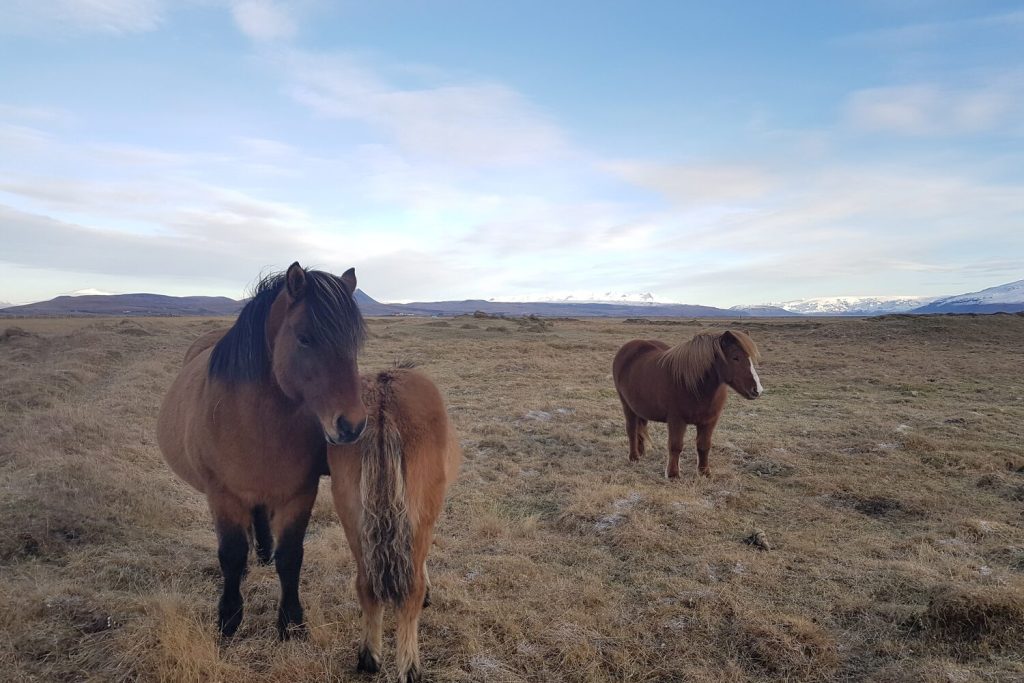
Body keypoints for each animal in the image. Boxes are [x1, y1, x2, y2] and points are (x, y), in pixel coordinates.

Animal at [156, 262, 367, 639]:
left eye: (354, 343)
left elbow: (291, 556)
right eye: (304, 338)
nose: (351, 426)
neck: (256, 420)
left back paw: (265, 552)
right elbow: (231, 554)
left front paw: (291, 622)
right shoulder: (223, 495)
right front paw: (228, 620)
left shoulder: (299, 493)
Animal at [328, 365, 461, 683]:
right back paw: (410, 665)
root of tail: (382, 404)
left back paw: (368, 656)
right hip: (419, 516)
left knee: (365, 585)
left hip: (353, 520)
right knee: (411, 590)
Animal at [612, 330, 763, 478]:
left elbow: (704, 445)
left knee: (640, 428)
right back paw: (634, 457)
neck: (694, 385)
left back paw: (642, 452)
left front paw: (704, 472)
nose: (757, 390)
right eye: (735, 357)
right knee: (632, 430)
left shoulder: (709, 421)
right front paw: (673, 474)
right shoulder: (676, 420)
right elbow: (675, 446)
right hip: (627, 406)